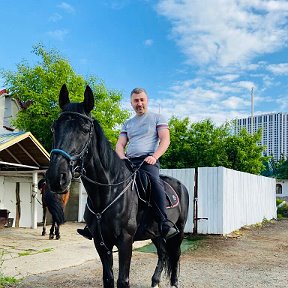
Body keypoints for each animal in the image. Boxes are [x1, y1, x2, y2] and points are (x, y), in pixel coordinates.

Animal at [45, 85, 189, 288]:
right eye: (54, 128)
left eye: (85, 129)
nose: (56, 177)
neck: (108, 192)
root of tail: (181, 186)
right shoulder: (100, 242)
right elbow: (108, 278)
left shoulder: (125, 241)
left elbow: (123, 280)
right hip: (155, 233)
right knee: (162, 253)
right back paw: (154, 281)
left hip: (179, 231)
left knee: (175, 255)